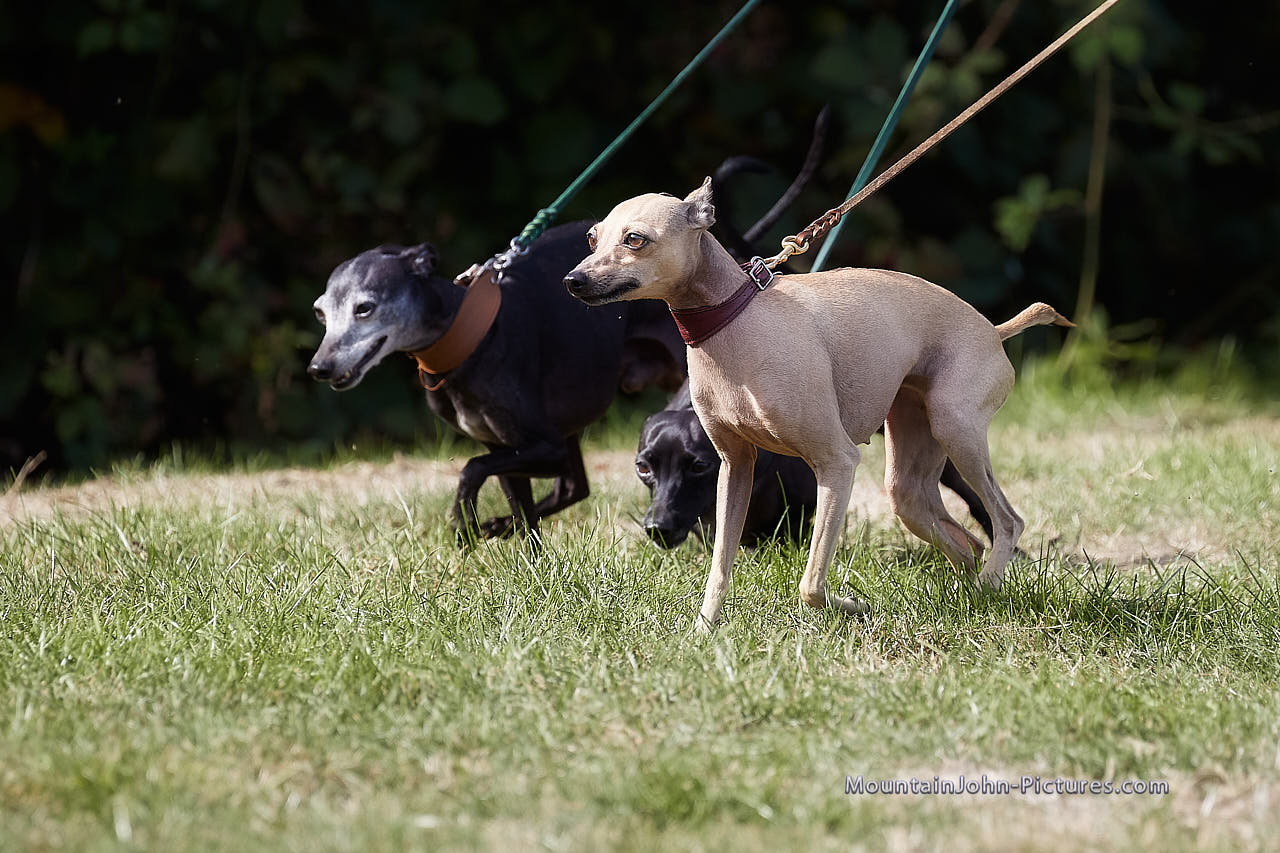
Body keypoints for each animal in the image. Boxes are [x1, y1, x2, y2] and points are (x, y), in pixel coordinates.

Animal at [309, 222, 684, 541]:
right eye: (320, 313)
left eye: (364, 308)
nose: (318, 368)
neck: (468, 339)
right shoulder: (504, 447)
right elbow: (524, 517)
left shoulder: (546, 447)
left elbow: (472, 468)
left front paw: (464, 523)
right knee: (573, 487)